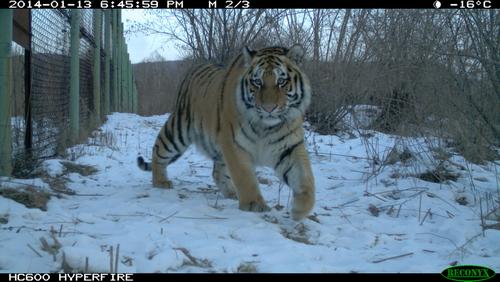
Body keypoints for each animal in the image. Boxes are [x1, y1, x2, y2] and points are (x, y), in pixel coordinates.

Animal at [137, 45, 314, 220]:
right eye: (257, 82)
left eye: (281, 81)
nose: (268, 108)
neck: (266, 127)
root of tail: (195, 68)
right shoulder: (235, 144)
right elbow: (245, 177)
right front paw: (254, 204)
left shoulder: (289, 148)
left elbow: (305, 178)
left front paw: (301, 210)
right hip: (178, 130)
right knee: (159, 150)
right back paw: (160, 182)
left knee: (217, 171)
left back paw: (231, 192)